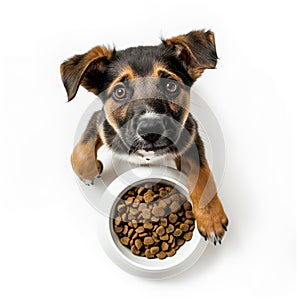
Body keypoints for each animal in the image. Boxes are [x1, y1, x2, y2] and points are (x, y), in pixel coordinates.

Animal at [61, 29, 230, 244]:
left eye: (171, 86)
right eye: (119, 91)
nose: (151, 130)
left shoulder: (189, 134)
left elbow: (201, 174)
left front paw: (211, 219)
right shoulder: (100, 122)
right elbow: (80, 154)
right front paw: (90, 173)